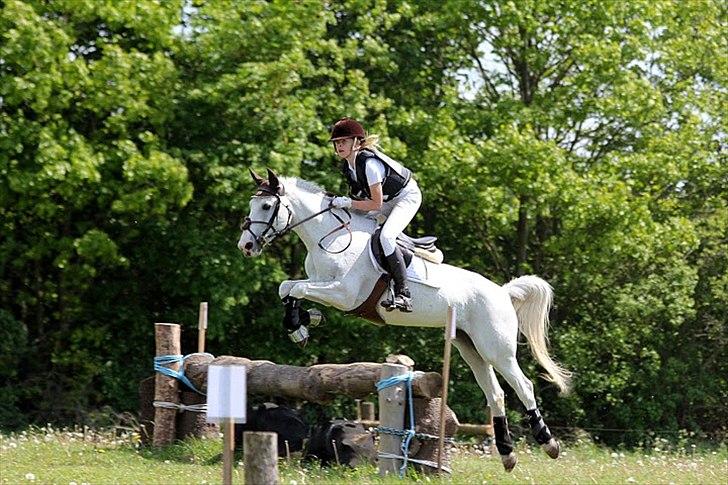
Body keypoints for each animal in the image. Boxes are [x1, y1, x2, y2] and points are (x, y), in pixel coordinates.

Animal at [239, 169, 568, 468]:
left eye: (266, 206)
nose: (246, 246)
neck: (331, 237)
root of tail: (502, 292)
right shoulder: (323, 285)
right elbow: (288, 287)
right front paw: (302, 324)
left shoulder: (345, 294)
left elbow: (295, 287)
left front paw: (302, 324)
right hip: (470, 347)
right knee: (496, 394)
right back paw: (507, 455)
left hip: (496, 348)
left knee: (523, 385)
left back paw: (548, 443)